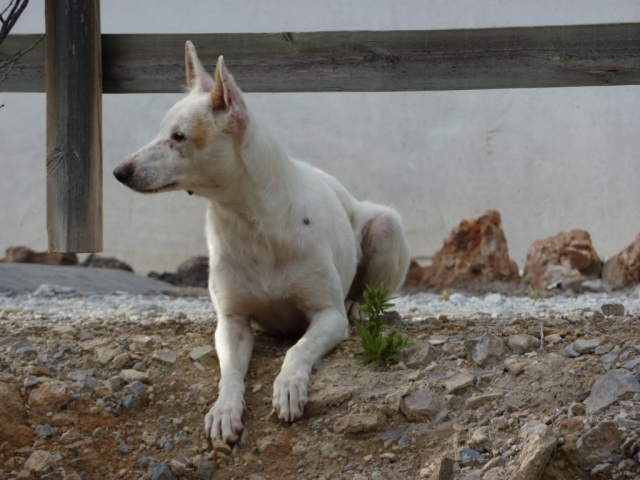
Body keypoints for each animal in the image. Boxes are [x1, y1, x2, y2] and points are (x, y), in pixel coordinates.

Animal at [114, 42, 410, 446]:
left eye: (179, 136)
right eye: (162, 132)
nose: (119, 171)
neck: (249, 222)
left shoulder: (327, 315)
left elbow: (298, 350)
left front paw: (288, 386)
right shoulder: (231, 324)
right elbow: (229, 374)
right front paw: (224, 410)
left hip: (385, 224)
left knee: (365, 295)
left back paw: (362, 308)